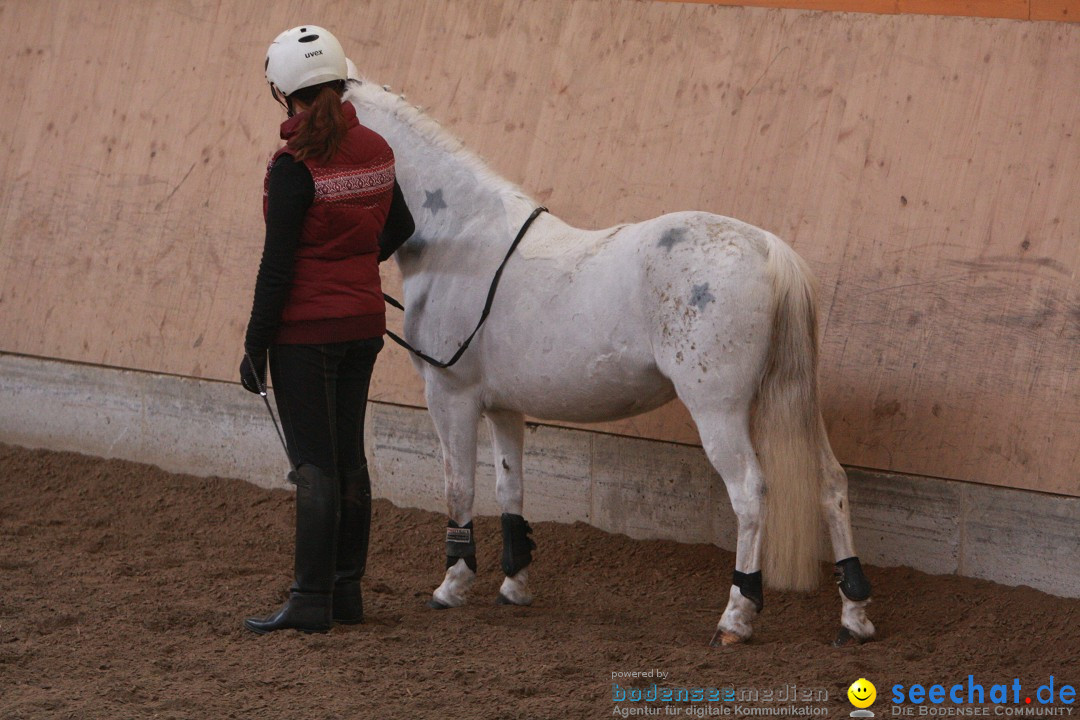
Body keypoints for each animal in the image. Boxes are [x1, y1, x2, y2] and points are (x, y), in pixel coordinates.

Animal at [347, 78, 876, 647]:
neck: (459, 241)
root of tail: (768, 248)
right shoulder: (504, 407)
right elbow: (509, 487)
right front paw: (514, 585)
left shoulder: (451, 397)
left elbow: (458, 487)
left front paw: (452, 586)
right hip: (794, 403)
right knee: (830, 483)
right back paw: (854, 616)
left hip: (720, 411)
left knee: (751, 493)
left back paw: (737, 616)